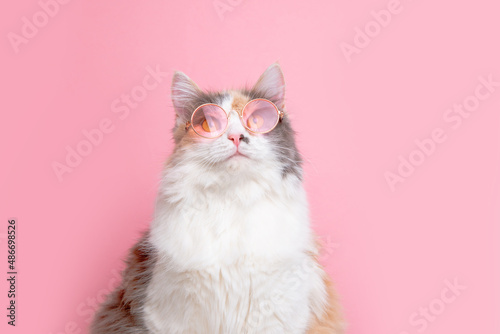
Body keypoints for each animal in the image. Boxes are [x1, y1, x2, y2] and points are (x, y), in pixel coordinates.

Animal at [91, 63, 344, 334]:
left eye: (256, 120)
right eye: (208, 125)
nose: (236, 136)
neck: (232, 197)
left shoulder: (275, 310)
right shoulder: (169, 314)